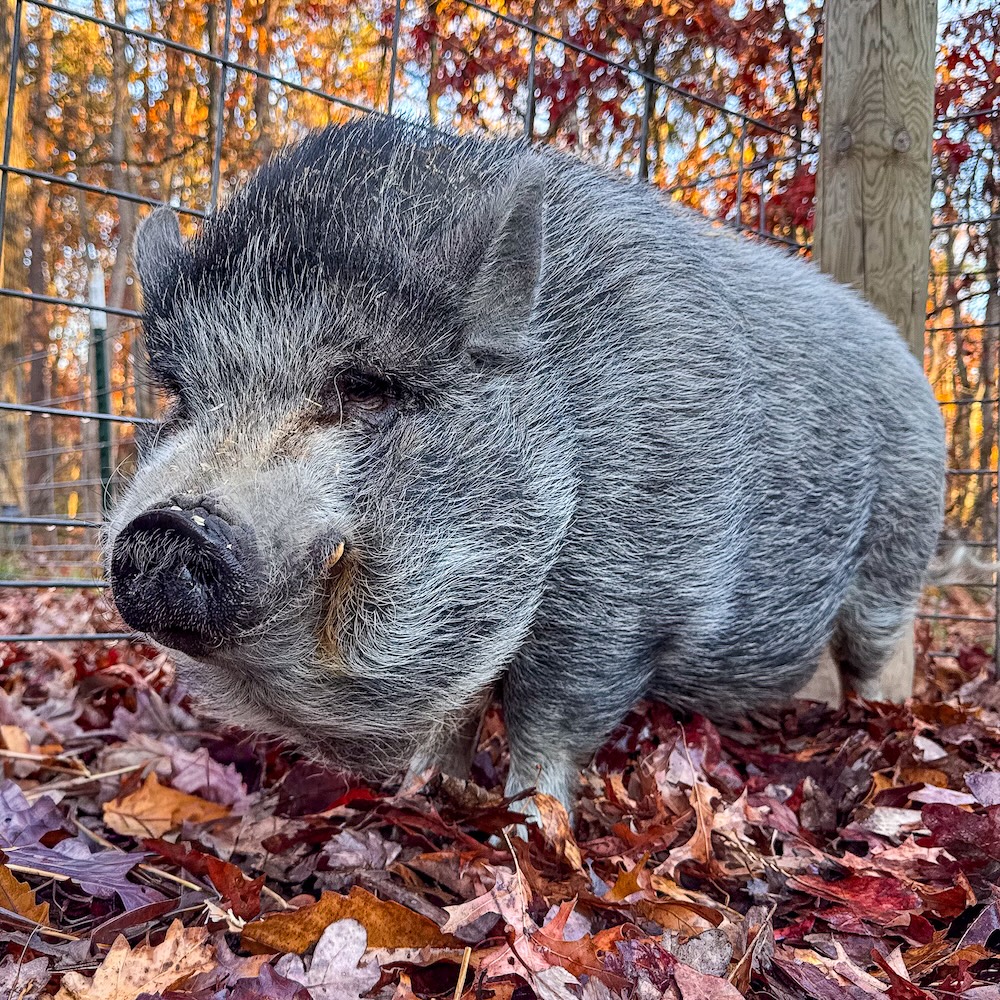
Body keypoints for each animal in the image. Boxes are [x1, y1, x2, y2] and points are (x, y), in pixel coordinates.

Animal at [106, 114, 946, 817]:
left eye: (364, 389)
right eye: (182, 395)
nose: (167, 524)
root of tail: (912, 366)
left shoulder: (615, 604)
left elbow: (549, 723)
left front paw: (534, 829)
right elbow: (459, 713)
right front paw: (422, 794)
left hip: (898, 550)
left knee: (877, 652)